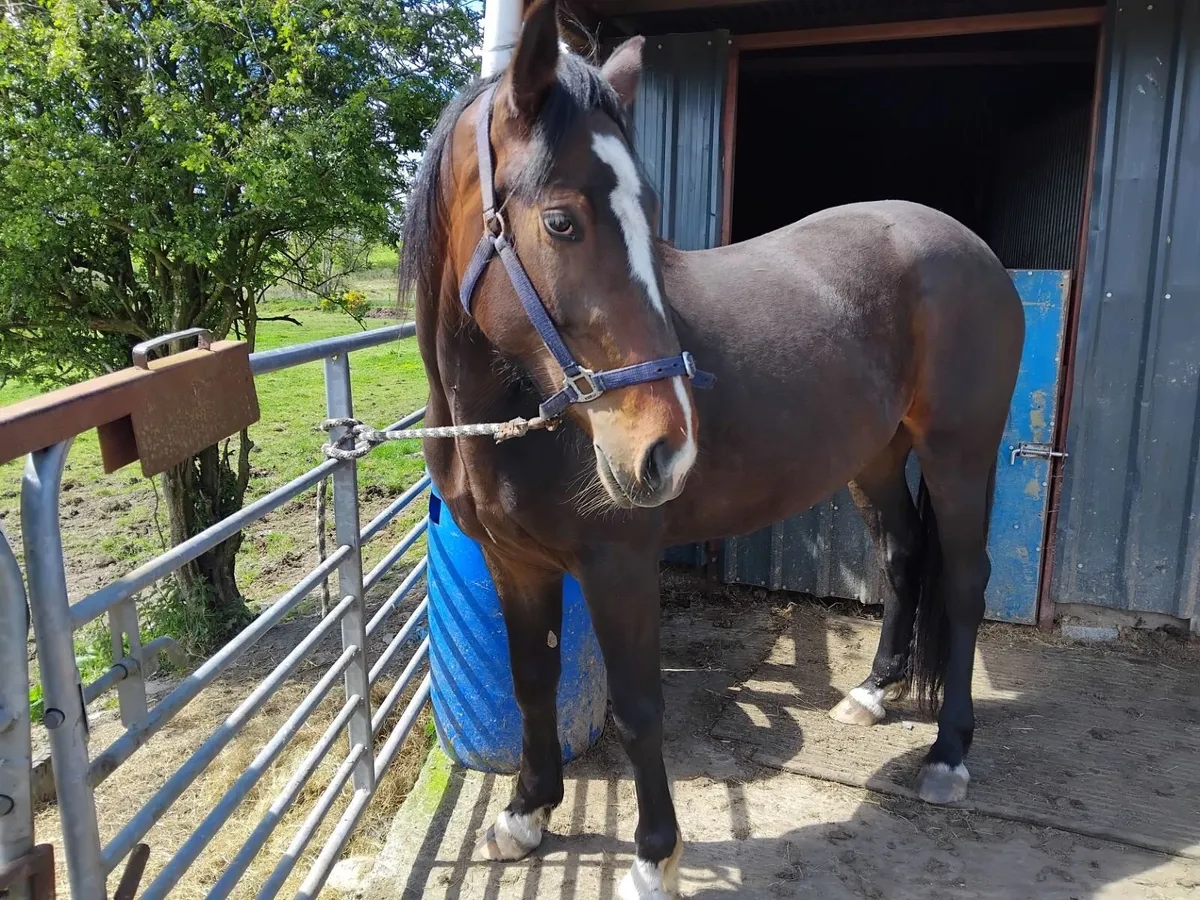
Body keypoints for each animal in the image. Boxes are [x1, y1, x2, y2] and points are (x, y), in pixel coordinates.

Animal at [401, 1, 1024, 896]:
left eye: (649, 217)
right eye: (561, 220)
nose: (666, 450)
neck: (511, 412)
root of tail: (972, 252)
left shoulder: (618, 564)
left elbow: (637, 707)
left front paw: (654, 857)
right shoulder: (514, 565)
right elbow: (531, 685)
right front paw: (526, 815)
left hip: (958, 453)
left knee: (967, 584)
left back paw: (948, 756)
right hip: (875, 457)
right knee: (903, 556)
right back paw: (873, 693)